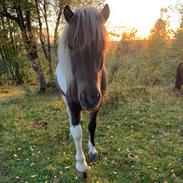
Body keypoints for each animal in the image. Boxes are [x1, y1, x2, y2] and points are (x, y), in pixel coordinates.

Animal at [55, 4, 109, 179]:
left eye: (102, 46)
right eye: (71, 46)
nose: (89, 98)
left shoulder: (99, 102)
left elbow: (92, 125)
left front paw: (92, 151)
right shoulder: (72, 102)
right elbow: (77, 132)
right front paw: (81, 165)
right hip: (66, 99)